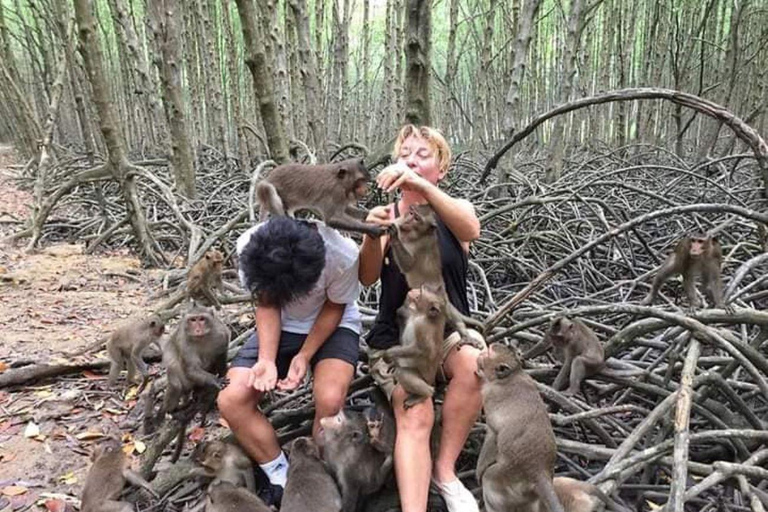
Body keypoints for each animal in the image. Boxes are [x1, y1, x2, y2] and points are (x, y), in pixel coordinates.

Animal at [255, 157, 384, 237]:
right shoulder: (335, 192)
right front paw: (372, 228)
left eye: (364, 181)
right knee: (268, 189)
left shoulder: (341, 196)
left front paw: (370, 214)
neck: (340, 182)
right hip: (263, 189)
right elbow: (332, 219)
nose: (365, 189)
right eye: (360, 181)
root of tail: (268, 176)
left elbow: (346, 209)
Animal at [388, 202, 484, 350]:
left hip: (440, 301)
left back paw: (465, 335)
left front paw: (394, 236)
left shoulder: (419, 245)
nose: (407, 221)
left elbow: (408, 265)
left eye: (417, 218)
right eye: (411, 213)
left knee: (450, 315)